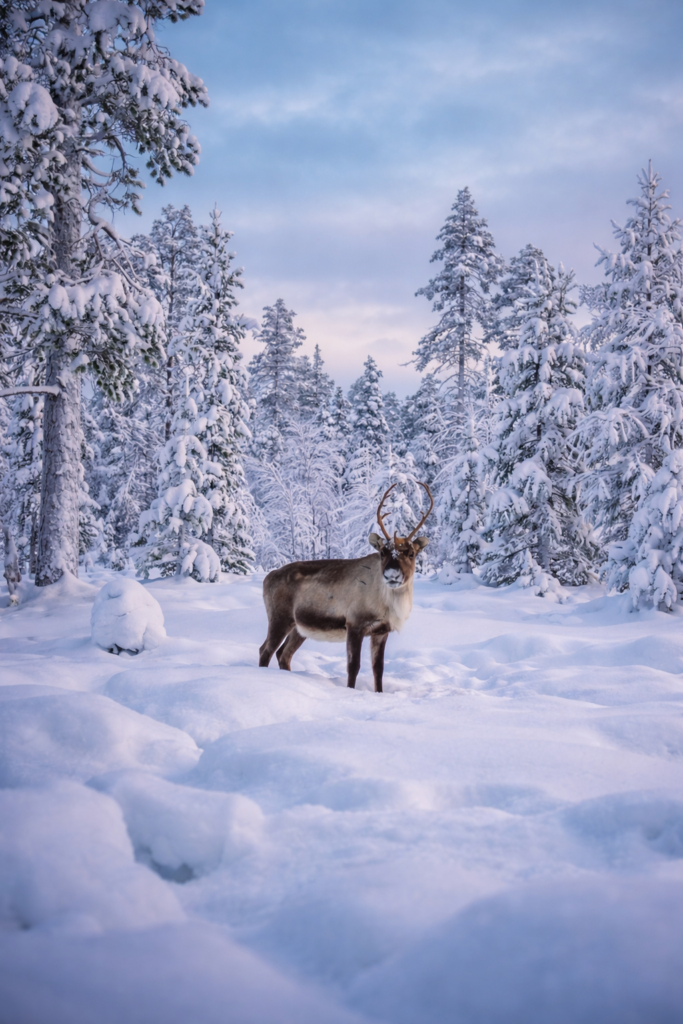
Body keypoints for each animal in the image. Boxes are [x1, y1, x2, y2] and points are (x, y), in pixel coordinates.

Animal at [258, 483, 433, 692]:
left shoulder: (381, 631)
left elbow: (378, 669)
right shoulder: (355, 624)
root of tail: (267, 578)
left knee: (283, 654)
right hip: (279, 618)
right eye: (382, 552)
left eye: (411, 553)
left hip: (299, 628)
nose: (392, 575)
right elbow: (353, 666)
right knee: (265, 651)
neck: (388, 604)